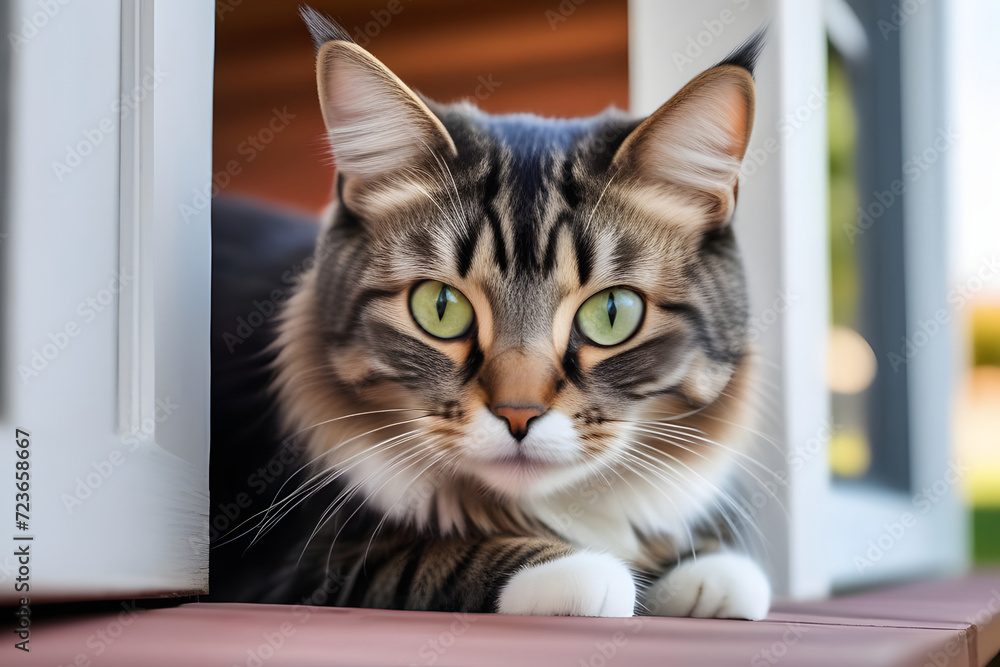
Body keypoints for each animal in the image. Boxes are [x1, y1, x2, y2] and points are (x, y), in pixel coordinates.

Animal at [256, 6, 764, 620]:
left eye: (612, 313)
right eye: (440, 308)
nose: (518, 416)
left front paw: (701, 570)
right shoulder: (301, 566)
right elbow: (429, 554)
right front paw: (578, 569)